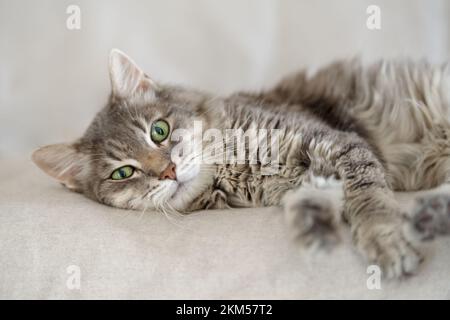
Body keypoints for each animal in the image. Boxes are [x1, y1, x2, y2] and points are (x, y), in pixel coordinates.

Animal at [31, 49, 450, 278]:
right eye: (123, 173)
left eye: (159, 131)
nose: (168, 171)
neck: (232, 168)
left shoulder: (337, 142)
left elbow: (369, 197)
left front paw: (385, 241)